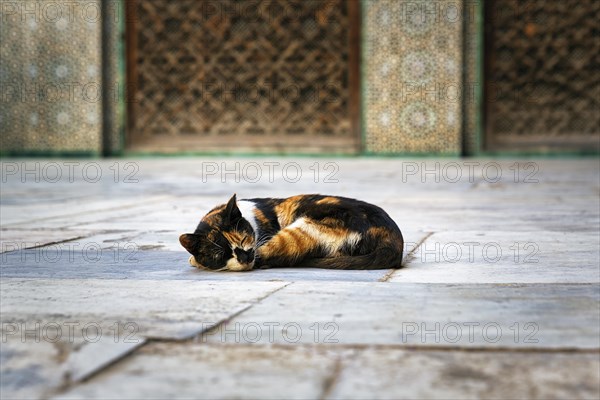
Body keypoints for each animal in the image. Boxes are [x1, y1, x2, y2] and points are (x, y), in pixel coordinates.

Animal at [178, 195, 404, 272]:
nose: (244, 257)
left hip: (301, 227)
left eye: (243, 238)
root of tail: (393, 237)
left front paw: (195, 260)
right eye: (220, 254)